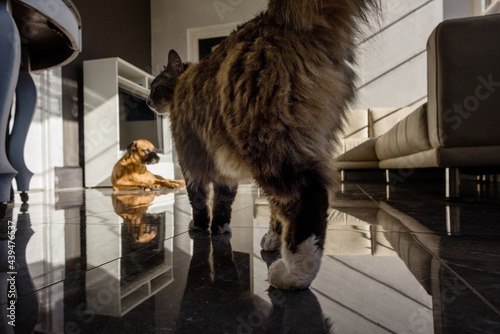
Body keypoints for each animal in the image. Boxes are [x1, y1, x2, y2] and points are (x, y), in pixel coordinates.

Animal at [147, 0, 378, 290]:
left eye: (155, 87)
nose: (146, 101)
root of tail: (273, 17)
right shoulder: (223, 166)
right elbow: (225, 200)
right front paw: (221, 227)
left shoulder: (191, 160)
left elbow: (198, 199)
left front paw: (200, 227)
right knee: (286, 200)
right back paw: (276, 243)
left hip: (266, 143)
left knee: (310, 192)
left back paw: (294, 272)